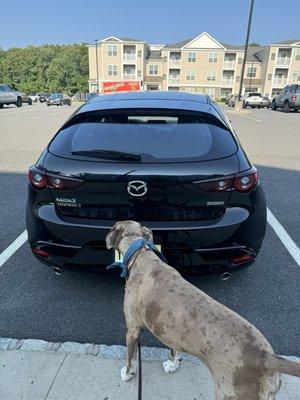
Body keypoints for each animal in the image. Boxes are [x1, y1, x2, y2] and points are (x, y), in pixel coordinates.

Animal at [106, 219, 300, 400]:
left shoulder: (132, 330)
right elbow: (174, 351)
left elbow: (130, 357)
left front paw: (127, 373)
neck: (141, 257)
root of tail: (265, 357)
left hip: (230, 393)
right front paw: (173, 365)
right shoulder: (170, 332)